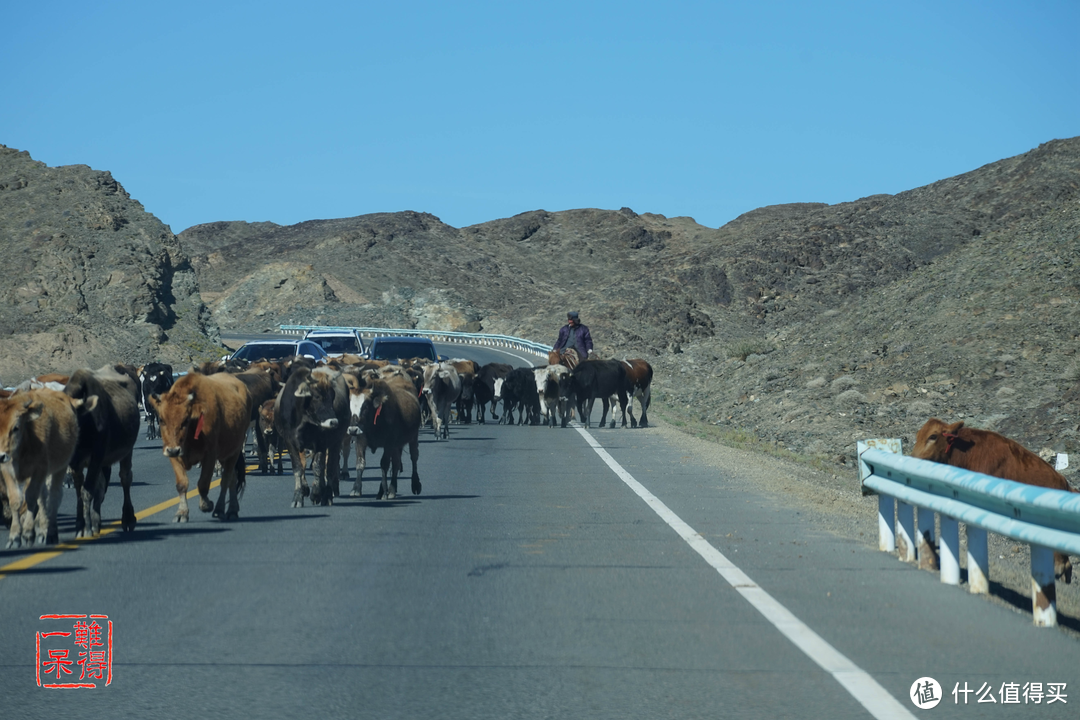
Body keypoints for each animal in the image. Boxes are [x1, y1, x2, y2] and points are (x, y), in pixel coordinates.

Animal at [0, 388, 86, 546]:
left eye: (16, 427)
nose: (1, 455)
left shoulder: (39, 471)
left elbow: (31, 498)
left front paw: (28, 534)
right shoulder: (8, 472)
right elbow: (15, 500)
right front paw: (14, 537)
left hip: (60, 468)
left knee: (54, 497)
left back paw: (50, 533)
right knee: (45, 497)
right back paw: (42, 530)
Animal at [63, 367, 141, 535]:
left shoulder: (96, 457)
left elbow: (87, 492)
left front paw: (86, 528)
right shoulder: (76, 462)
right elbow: (80, 490)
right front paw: (80, 525)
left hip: (126, 452)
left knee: (125, 478)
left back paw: (128, 519)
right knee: (101, 487)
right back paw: (96, 521)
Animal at [149, 371, 251, 524]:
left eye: (185, 420)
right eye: (161, 419)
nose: (173, 450)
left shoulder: (210, 456)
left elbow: (203, 483)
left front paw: (206, 505)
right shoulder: (174, 457)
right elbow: (181, 484)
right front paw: (181, 513)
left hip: (234, 451)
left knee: (226, 479)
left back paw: (222, 509)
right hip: (225, 455)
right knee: (232, 478)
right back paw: (231, 510)